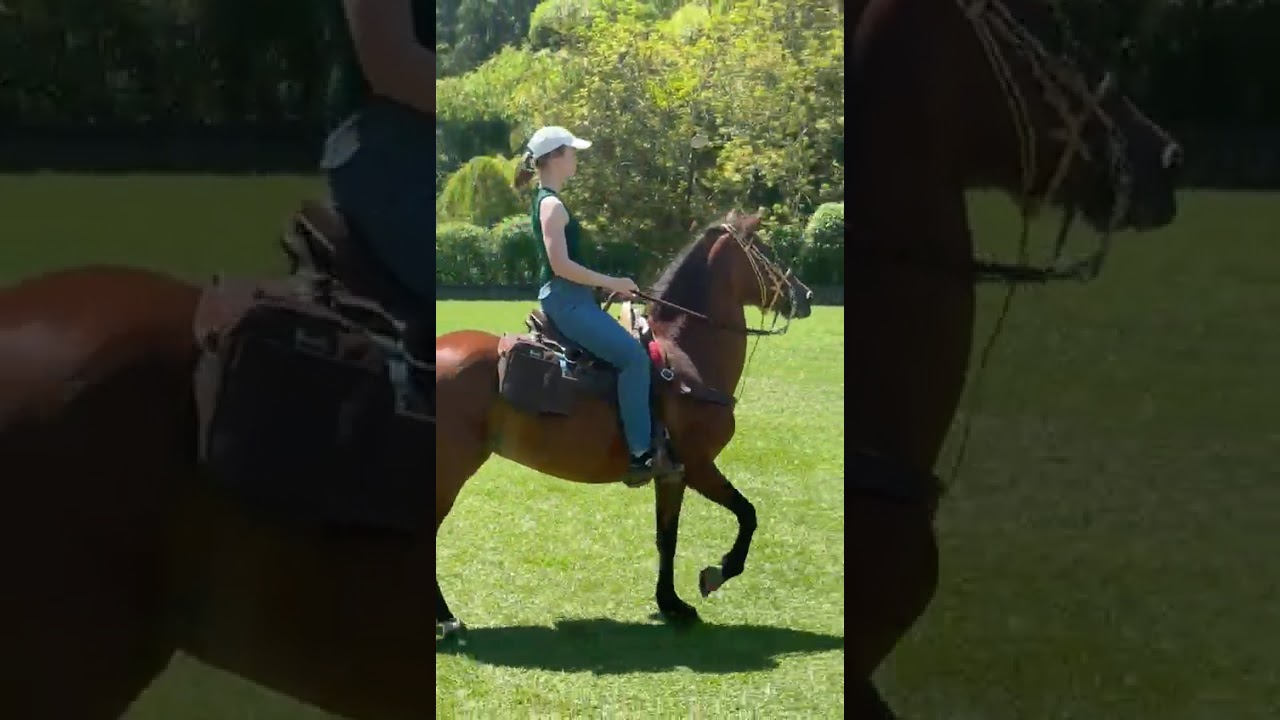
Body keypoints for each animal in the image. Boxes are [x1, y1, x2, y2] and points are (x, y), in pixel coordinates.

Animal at [434, 211, 814, 639]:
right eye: (766, 250)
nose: (805, 296)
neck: (685, 357)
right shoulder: (697, 465)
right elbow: (747, 514)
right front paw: (716, 574)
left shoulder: (671, 473)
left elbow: (667, 537)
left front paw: (671, 603)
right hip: (450, 468)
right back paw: (447, 619)